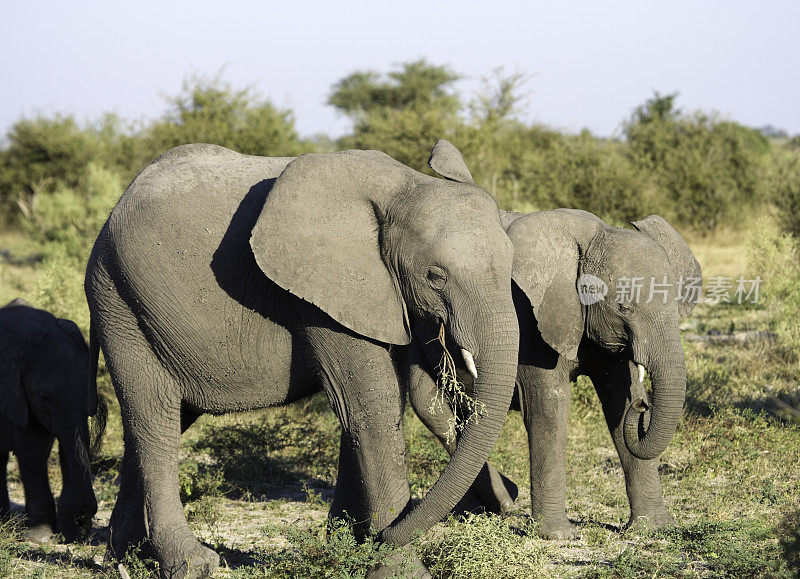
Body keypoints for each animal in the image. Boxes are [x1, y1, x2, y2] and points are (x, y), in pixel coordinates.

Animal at [86, 142, 520, 579]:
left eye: (510, 265)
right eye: (435, 276)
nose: (511, 499)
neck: (405, 187)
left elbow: (375, 405)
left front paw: (347, 547)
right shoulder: (323, 296)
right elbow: (372, 410)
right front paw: (397, 568)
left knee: (159, 423)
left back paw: (124, 558)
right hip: (120, 304)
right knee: (154, 419)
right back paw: (191, 564)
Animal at [406, 205, 700, 540]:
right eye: (624, 308)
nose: (644, 407)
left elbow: (618, 403)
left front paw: (654, 528)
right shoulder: (530, 321)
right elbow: (549, 407)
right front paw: (557, 536)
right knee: (428, 406)